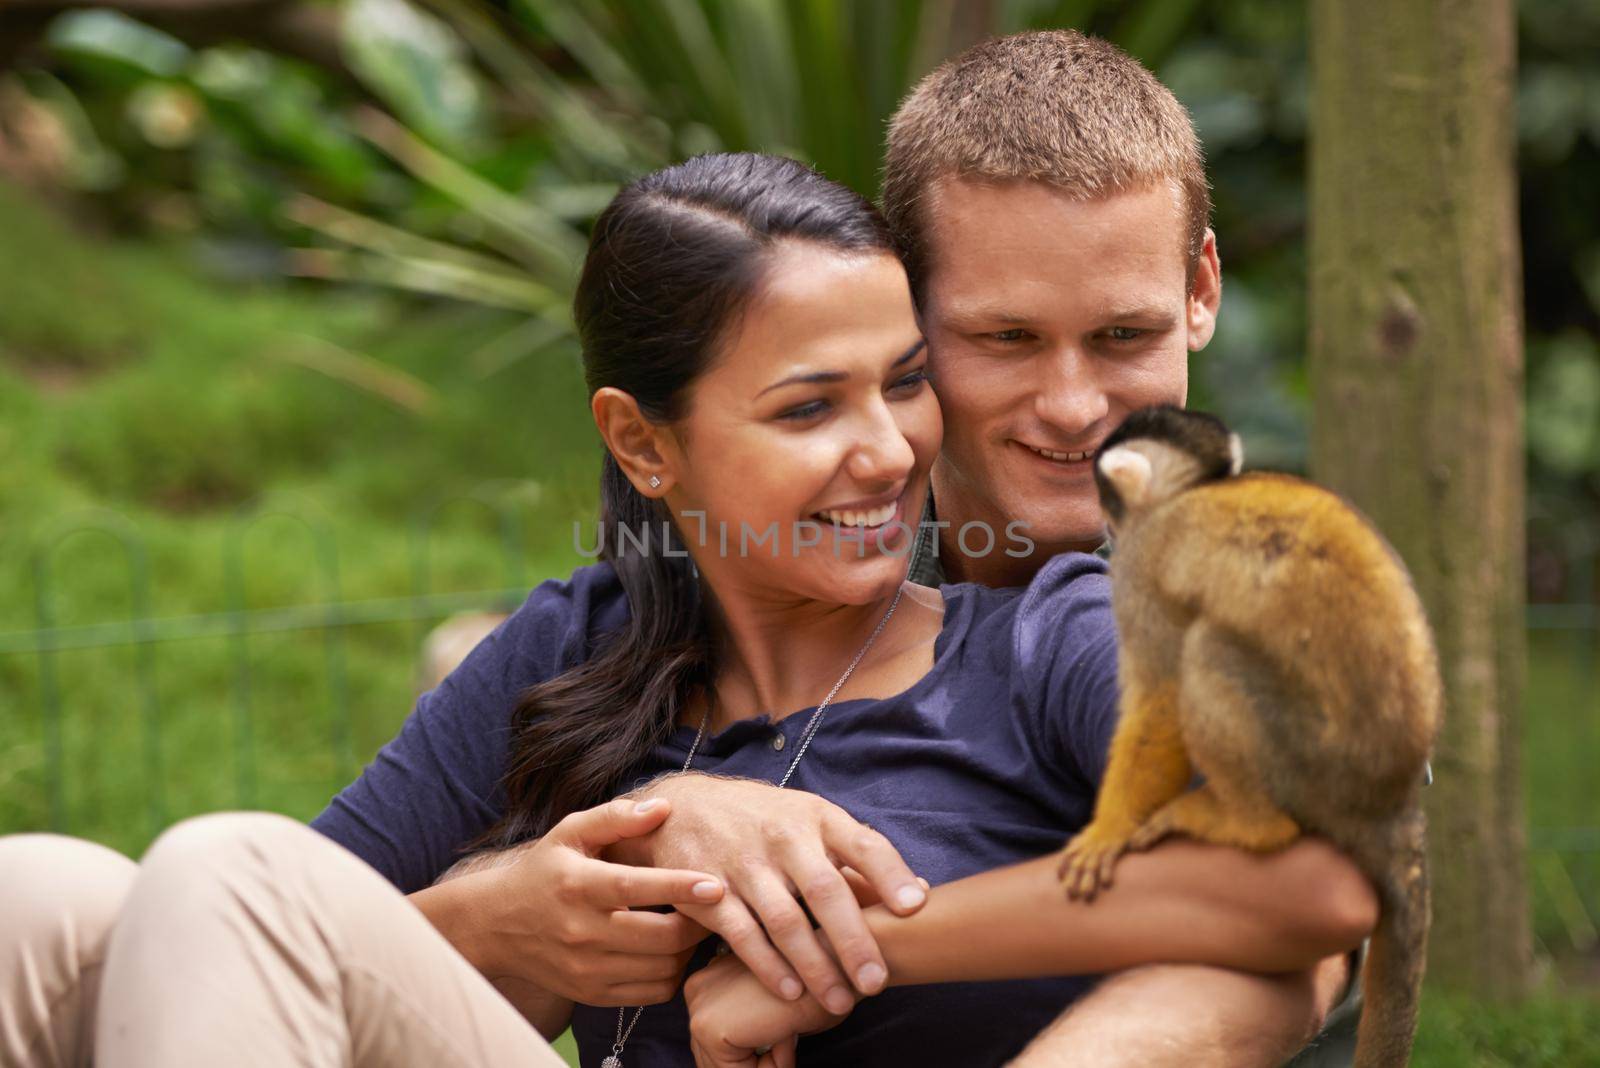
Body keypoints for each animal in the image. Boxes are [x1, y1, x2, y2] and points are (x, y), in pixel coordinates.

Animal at [1062, 406, 1452, 1068]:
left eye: (1106, 494)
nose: (1105, 526)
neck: (1189, 491)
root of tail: (1389, 803)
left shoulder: (1139, 569)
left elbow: (1160, 696)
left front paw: (1106, 830)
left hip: (1307, 760)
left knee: (1209, 650)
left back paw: (1247, 825)